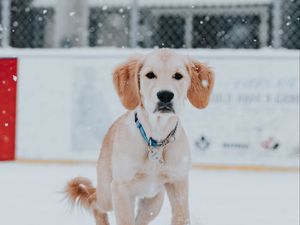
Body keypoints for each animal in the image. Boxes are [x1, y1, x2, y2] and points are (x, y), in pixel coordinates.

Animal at [65, 48, 214, 224]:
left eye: (178, 75)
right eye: (150, 75)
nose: (165, 95)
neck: (156, 139)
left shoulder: (178, 183)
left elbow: (181, 216)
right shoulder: (121, 188)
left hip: (153, 202)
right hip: (107, 193)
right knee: (94, 202)